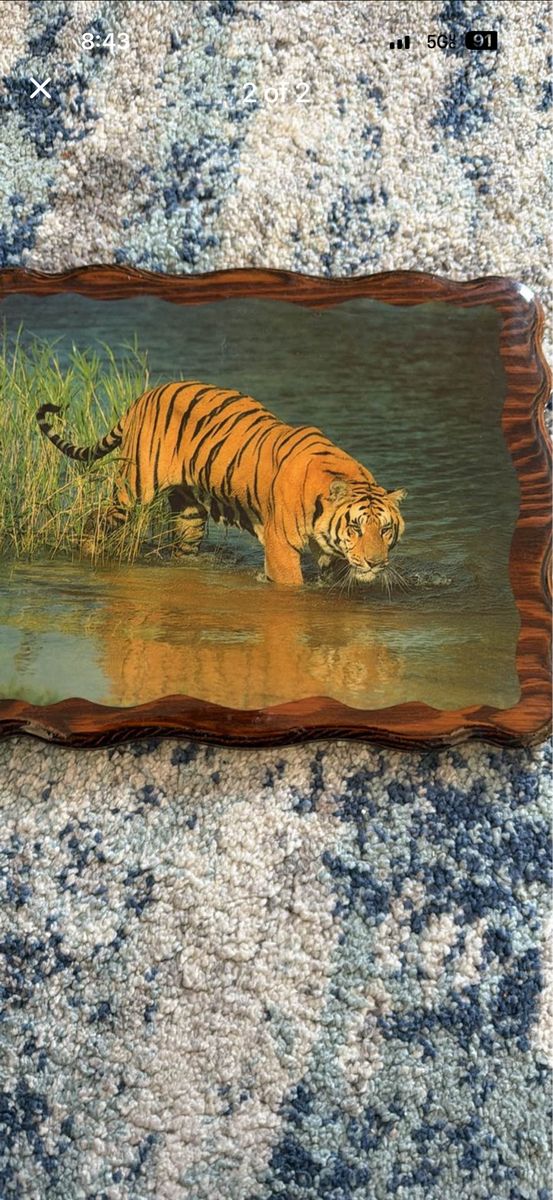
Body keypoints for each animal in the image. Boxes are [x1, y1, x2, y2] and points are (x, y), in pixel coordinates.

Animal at [35, 381, 407, 587]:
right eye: (355, 528)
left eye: (385, 529)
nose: (376, 563)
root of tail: (145, 395)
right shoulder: (280, 547)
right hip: (133, 489)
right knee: (95, 519)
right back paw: (88, 551)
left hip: (189, 515)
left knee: (181, 550)